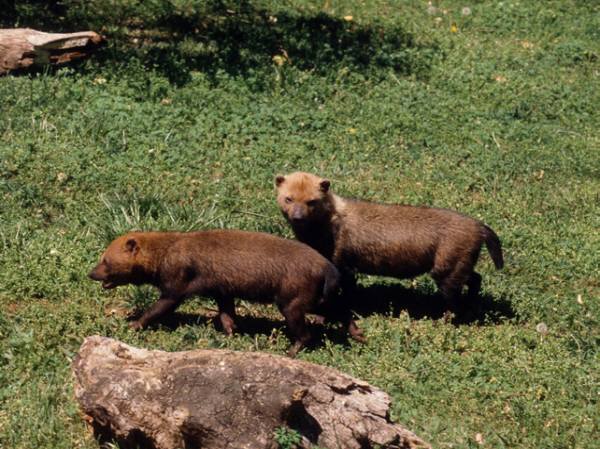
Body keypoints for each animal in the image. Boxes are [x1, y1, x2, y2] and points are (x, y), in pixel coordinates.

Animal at [91, 229, 350, 356]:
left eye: (105, 260)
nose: (91, 273)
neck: (166, 252)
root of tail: (328, 267)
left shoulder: (175, 286)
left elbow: (156, 309)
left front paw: (133, 324)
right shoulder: (222, 289)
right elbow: (226, 315)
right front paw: (231, 334)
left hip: (292, 301)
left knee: (306, 333)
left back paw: (292, 350)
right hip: (315, 298)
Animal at [274, 171, 504, 312]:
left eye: (312, 201)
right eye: (288, 198)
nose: (297, 217)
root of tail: (479, 225)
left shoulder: (343, 264)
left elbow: (347, 291)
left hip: (446, 270)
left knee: (454, 299)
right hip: (459, 265)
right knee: (476, 279)